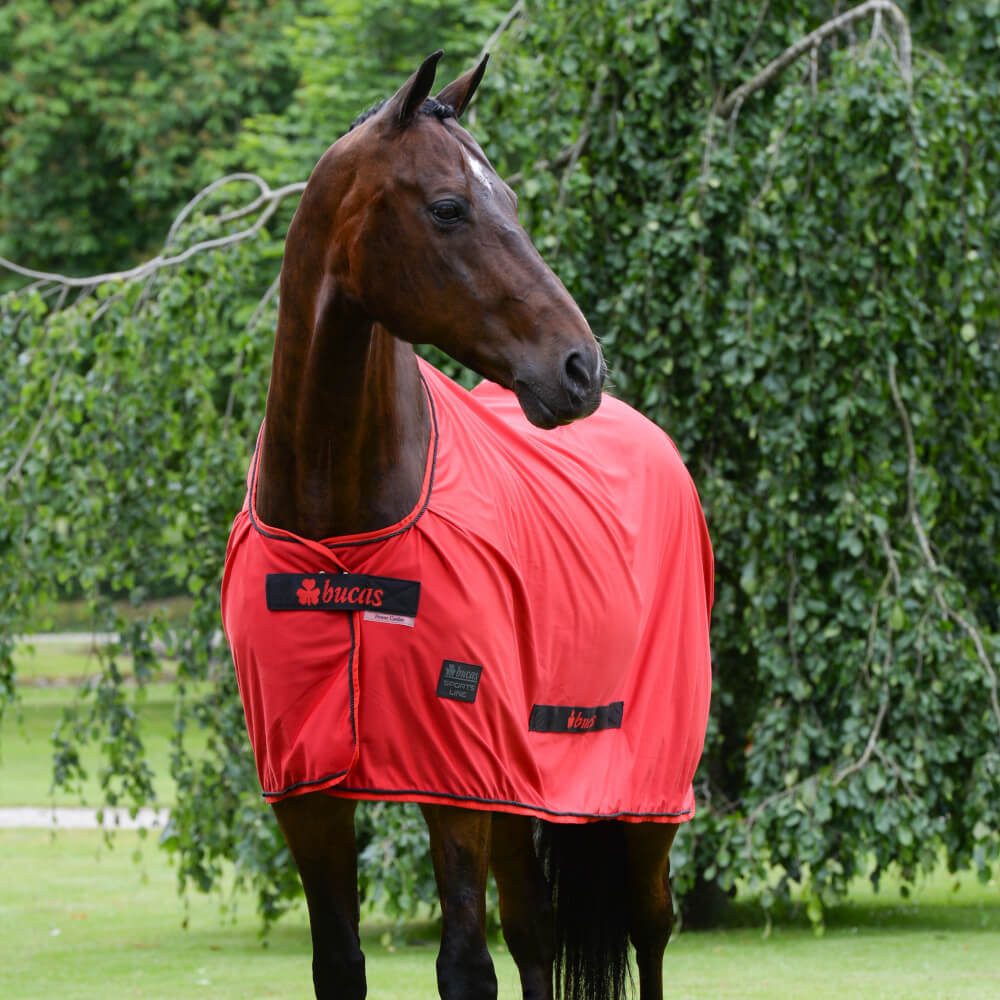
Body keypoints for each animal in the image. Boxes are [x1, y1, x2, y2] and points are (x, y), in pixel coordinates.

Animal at [220, 51, 714, 1000]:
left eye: (511, 199)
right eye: (450, 207)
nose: (580, 367)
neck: (340, 537)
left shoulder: (454, 782)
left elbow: (463, 966)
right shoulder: (307, 788)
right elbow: (342, 963)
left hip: (643, 798)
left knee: (649, 928)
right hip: (522, 791)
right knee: (536, 933)